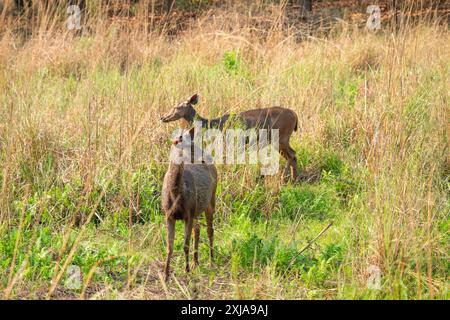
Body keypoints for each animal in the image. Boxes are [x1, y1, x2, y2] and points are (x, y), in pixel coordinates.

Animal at [162, 94, 298, 181]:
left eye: (176, 107)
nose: (163, 117)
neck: (212, 124)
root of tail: (295, 115)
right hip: (281, 139)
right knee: (293, 154)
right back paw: (294, 178)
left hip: (280, 137)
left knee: (291, 155)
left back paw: (284, 178)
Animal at [162, 131, 218, 282]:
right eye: (189, 146)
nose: (207, 158)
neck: (175, 193)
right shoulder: (169, 215)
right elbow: (169, 247)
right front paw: (166, 275)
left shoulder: (188, 214)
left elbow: (185, 245)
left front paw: (186, 270)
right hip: (196, 209)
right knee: (197, 229)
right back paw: (195, 262)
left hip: (211, 200)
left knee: (210, 230)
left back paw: (211, 260)